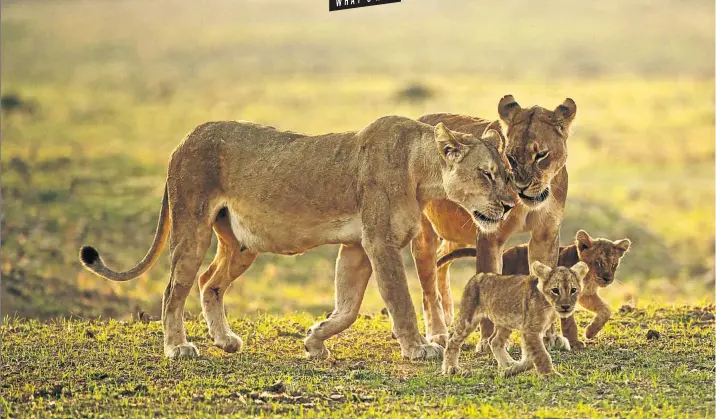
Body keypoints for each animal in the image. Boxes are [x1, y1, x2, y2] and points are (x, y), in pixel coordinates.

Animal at [78, 115, 516, 360]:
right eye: (486, 174)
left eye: (509, 174)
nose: (512, 205)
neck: (420, 169)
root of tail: (184, 140)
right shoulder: (380, 242)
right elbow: (399, 301)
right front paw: (418, 348)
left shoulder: (357, 246)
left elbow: (348, 307)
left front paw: (314, 341)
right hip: (192, 224)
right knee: (174, 288)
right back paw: (177, 348)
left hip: (242, 244)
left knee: (209, 282)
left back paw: (225, 341)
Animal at [412, 97, 572, 350]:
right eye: (511, 157)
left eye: (541, 155)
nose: (522, 187)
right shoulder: (490, 235)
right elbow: (487, 279)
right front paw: (487, 341)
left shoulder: (545, 235)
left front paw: (551, 337)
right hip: (425, 235)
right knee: (428, 283)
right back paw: (438, 332)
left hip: (459, 232)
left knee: (442, 257)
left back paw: (448, 313)